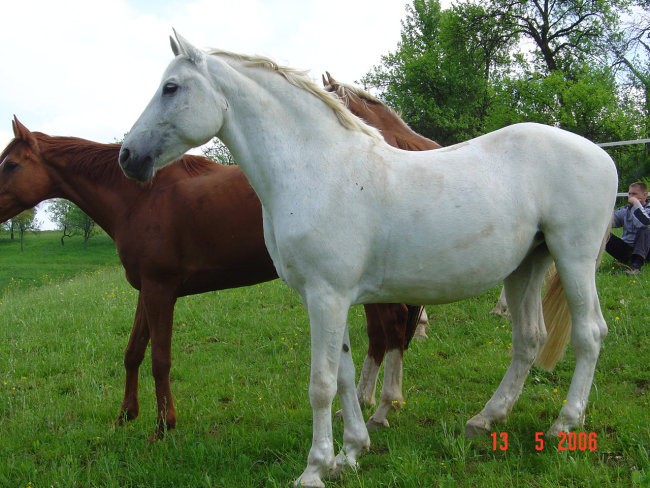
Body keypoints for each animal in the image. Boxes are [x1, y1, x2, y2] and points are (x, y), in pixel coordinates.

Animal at [0, 117, 426, 434]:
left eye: (11, 165)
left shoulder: (161, 290)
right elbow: (133, 352)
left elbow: (160, 358)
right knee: (386, 333)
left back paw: (381, 409)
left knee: (390, 329)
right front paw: (125, 415)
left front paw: (163, 425)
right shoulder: (145, 290)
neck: (140, 197)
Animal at [120, 31, 616, 488]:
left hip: (572, 257)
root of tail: (601, 155)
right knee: (529, 339)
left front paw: (314, 469)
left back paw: (564, 424)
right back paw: (486, 419)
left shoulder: (327, 296)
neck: (320, 171)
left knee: (589, 334)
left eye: (171, 88)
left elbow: (321, 385)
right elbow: (343, 376)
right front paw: (350, 454)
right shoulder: (328, 298)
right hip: (526, 267)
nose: (128, 157)